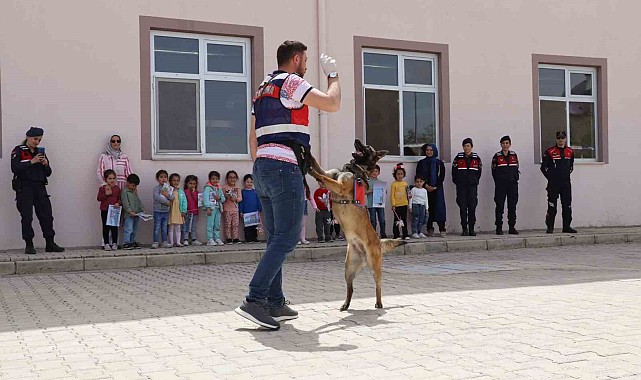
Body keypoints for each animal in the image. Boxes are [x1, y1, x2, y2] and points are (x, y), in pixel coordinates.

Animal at [306, 138, 404, 310]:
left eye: (367, 147)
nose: (357, 140)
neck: (355, 169)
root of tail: (378, 241)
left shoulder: (338, 185)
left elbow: (322, 176)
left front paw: (311, 171)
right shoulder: (329, 174)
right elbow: (318, 165)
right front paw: (307, 151)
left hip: (374, 266)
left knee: (378, 285)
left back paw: (379, 303)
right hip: (348, 269)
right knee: (350, 288)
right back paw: (345, 304)